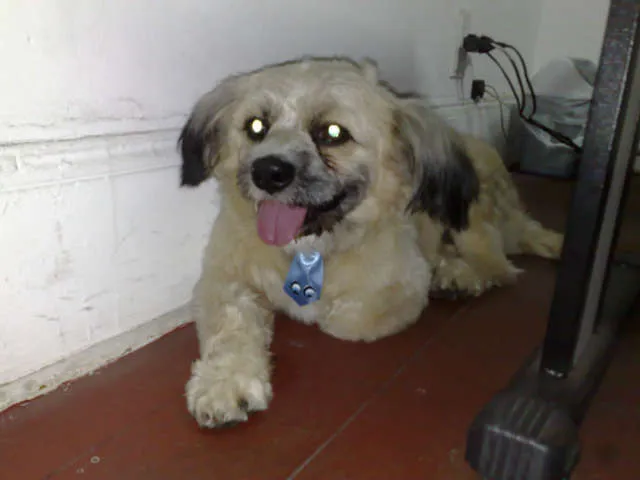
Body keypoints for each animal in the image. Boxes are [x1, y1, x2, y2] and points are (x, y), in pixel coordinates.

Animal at [178, 56, 563, 428]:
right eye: (256, 126)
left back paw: (458, 275)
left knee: (498, 264)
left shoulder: (399, 287)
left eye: (333, 133)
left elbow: (340, 322)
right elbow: (231, 324)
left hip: (467, 211)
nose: (268, 172)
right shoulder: (220, 281)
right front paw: (224, 383)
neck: (310, 250)